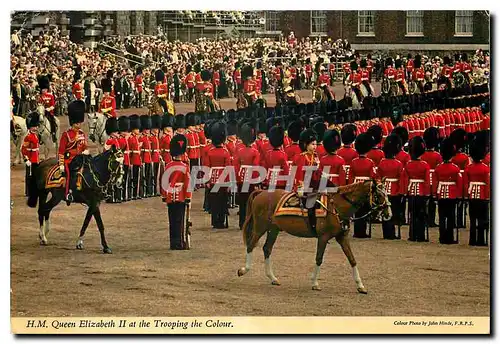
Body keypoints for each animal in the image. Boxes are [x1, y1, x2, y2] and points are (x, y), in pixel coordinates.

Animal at [236, 180, 392, 292]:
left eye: (387, 193)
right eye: (379, 195)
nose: (389, 214)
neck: (336, 206)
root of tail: (262, 192)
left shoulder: (342, 238)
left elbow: (352, 259)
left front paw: (360, 285)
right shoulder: (323, 237)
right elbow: (319, 258)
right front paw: (315, 283)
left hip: (274, 230)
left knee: (267, 249)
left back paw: (273, 278)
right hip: (260, 228)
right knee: (251, 245)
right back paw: (243, 270)